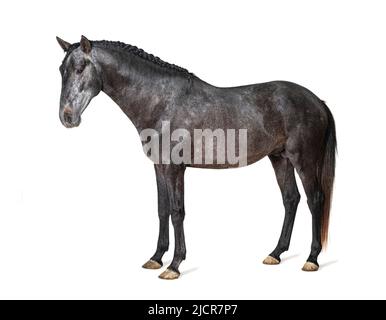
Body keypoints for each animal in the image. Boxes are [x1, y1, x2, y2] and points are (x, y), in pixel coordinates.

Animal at [56, 35, 334, 280]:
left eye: (79, 68)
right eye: (61, 70)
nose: (67, 117)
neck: (160, 101)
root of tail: (317, 100)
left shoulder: (175, 168)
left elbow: (177, 211)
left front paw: (174, 265)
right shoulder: (159, 166)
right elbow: (162, 209)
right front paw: (156, 258)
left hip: (304, 160)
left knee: (315, 199)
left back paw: (311, 259)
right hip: (280, 159)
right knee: (291, 199)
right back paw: (275, 253)